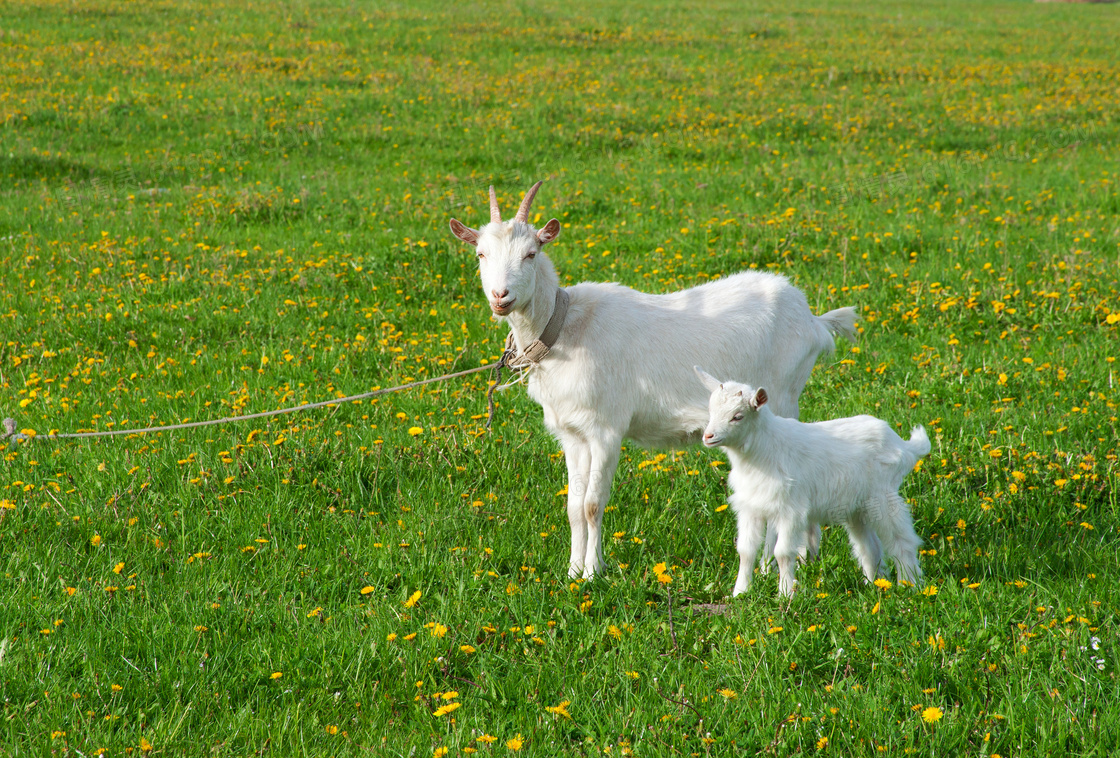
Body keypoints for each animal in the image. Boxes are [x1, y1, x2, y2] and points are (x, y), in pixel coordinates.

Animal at [445, 180, 855, 577]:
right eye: (481, 254)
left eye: (531, 253)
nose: (501, 296)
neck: (564, 329)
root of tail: (813, 319)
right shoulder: (573, 433)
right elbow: (575, 507)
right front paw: (573, 571)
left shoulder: (606, 429)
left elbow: (593, 504)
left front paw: (594, 572)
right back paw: (806, 555)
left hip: (782, 396)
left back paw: (774, 563)